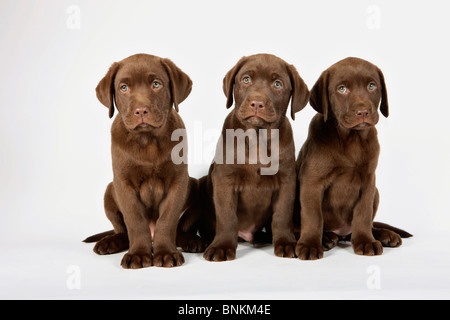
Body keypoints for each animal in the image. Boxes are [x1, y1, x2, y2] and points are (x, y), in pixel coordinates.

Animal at [85, 53, 201, 268]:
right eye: (123, 88)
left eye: (156, 84)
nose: (141, 111)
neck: (148, 140)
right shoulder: (124, 183)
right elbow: (135, 222)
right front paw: (138, 254)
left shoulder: (178, 181)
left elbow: (167, 220)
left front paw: (166, 253)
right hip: (109, 191)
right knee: (123, 231)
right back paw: (110, 242)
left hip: (196, 186)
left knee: (180, 229)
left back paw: (190, 240)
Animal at [200, 53, 310, 262]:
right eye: (246, 79)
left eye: (277, 84)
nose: (257, 103)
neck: (257, 138)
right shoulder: (224, 179)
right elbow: (227, 215)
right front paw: (222, 246)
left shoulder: (287, 180)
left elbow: (282, 215)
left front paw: (285, 242)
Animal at [296, 56, 412, 260]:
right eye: (342, 89)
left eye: (372, 86)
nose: (363, 112)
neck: (351, 138)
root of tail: (341, 232)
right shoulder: (312, 182)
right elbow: (313, 216)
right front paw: (310, 244)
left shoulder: (368, 181)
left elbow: (363, 215)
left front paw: (365, 241)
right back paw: (326, 238)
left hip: (376, 192)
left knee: (364, 226)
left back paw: (384, 235)